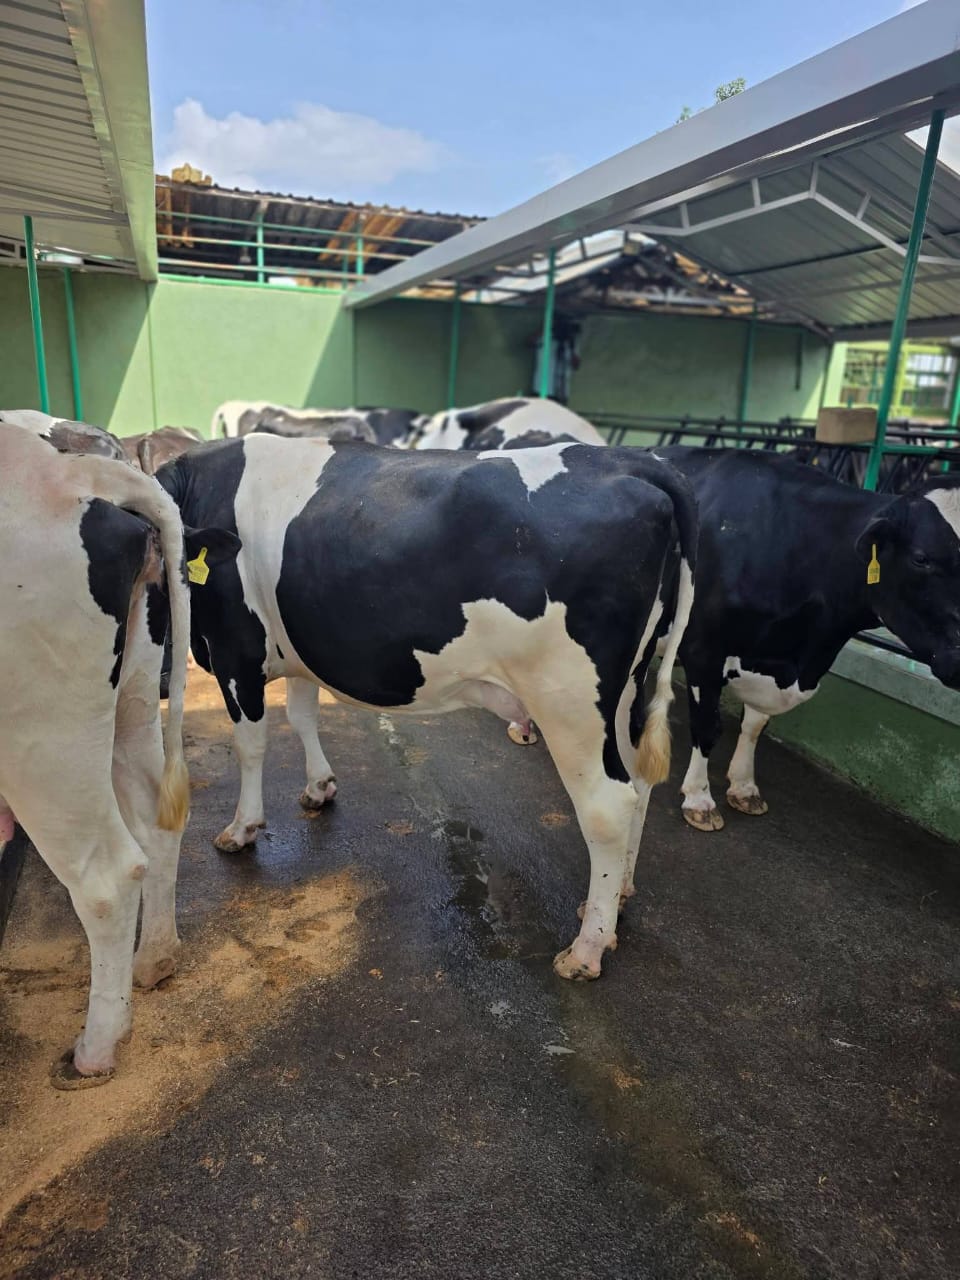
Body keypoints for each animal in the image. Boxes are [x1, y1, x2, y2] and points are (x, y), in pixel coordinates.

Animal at [0, 426, 232, 1085]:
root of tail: (74, 468)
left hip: (39, 733)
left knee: (106, 874)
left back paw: (96, 1048)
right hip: (130, 697)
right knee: (158, 822)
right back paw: (154, 960)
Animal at [157, 434, 697, 980]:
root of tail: (634, 461)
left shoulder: (234, 650)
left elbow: (251, 743)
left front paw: (242, 828)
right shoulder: (299, 650)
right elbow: (302, 715)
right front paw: (319, 787)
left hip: (569, 699)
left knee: (608, 805)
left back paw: (587, 947)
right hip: (625, 690)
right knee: (639, 782)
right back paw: (617, 896)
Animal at [652, 449, 960, 830]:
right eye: (921, 558)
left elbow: (755, 726)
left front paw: (744, 787)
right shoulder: (703, 650)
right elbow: (708, 725)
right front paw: (699, 798)